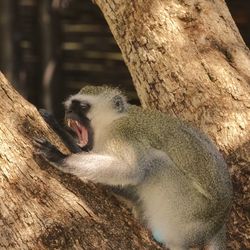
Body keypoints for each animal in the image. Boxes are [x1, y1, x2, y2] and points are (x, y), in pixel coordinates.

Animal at [35, 85, 232, 248]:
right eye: (70, 106)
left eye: (83, 107)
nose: (68, 111)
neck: (112, 122)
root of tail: (217, 224)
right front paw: (60, 132)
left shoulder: (124, 135)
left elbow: (132, 170)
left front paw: (60, 157)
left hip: (190, 211)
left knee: (155, 162)